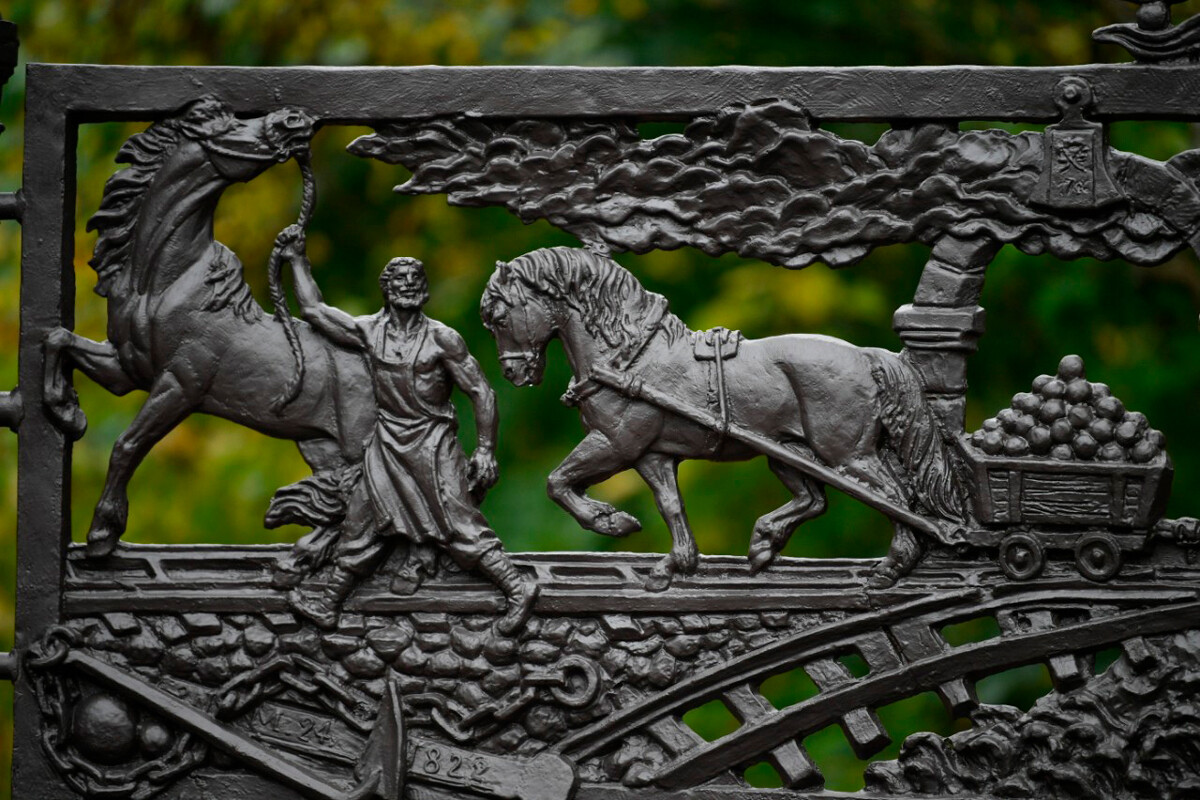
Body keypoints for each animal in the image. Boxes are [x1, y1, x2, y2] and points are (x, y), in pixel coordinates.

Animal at [44, 95, 374, 556]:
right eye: (230, 125)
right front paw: (67, 413)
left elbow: (126, 445)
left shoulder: (180, 385)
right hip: (319, 444)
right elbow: (58, 339)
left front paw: (103, 533)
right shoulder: (126, 372)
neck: (159, 283)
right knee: (340, 499)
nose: (296, 120)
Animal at [477, 247, 964, 592]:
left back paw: (891, 567)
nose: (514, 373)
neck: (628, 357)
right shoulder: (652, 455)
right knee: (814, 500)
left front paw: (611, 522)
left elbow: (557, 481)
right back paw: (764, 545)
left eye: (499, 316)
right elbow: (670, 505)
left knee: (897, 498)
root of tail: (868, 356)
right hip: (789, 452)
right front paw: (675, 564)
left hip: (846, 454)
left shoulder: (616, 443)